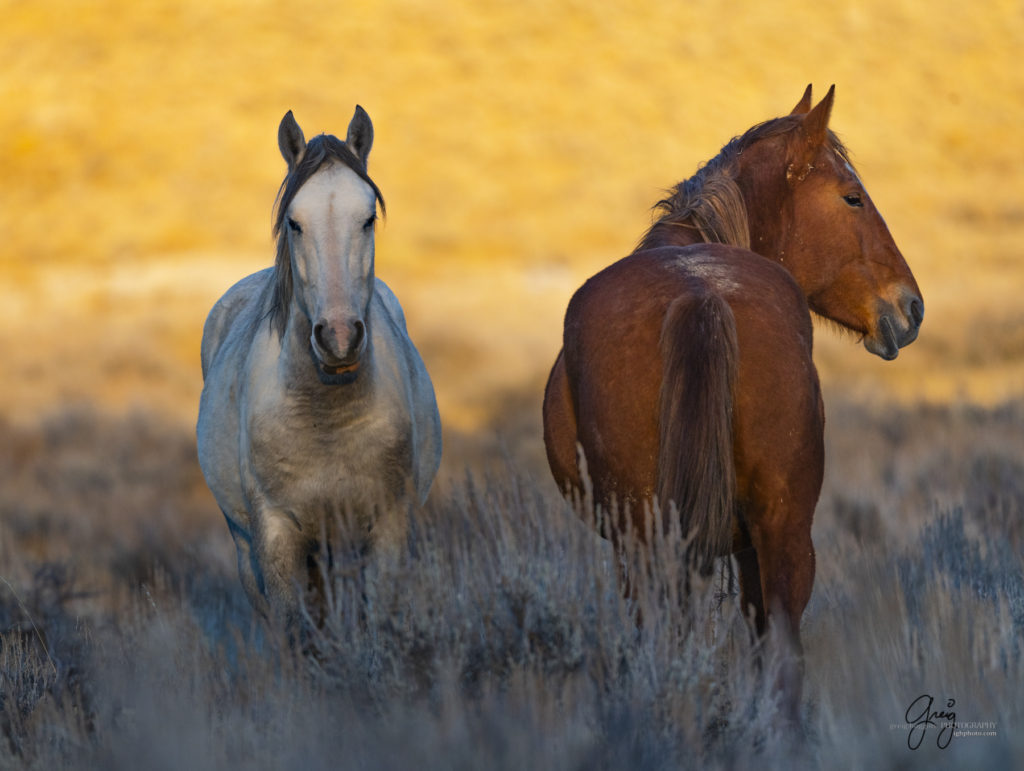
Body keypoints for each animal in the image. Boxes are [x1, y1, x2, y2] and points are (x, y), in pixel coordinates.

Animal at [197, 106, 442, 626]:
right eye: (295, 223)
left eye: (367, 219)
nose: (339, 337)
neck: (326, 418)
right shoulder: (275, 541)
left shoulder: (387, 530)